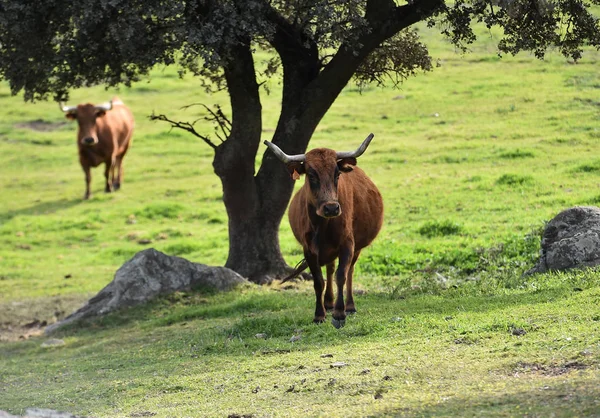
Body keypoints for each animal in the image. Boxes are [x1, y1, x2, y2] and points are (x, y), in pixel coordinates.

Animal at [266, 133, 384, 326]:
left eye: (337, 174)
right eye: (311, 175)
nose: (331, 208)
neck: (323, 226)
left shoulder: (348, 244)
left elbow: (341, 275)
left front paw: (339, 313)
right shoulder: (309, 249)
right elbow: (318, 281)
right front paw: (319, 314)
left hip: (357, 247)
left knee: (349, 271)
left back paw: (349, 306)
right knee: (329, 268)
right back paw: (328, 302)